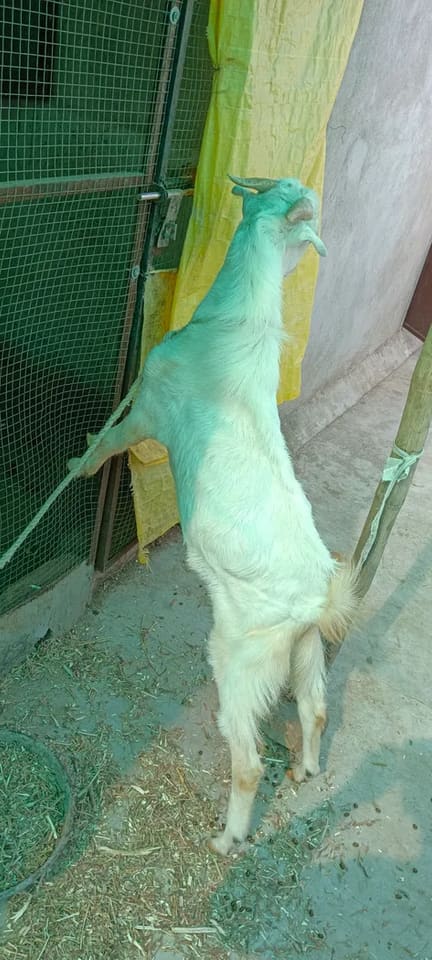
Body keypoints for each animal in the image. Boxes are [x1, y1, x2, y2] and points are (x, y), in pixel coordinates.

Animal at [68, 175, 358, 855]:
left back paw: (229, 840)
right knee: (316, 709)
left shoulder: (150, 407)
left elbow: (111, 442)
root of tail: (319, 598)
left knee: (248, 760)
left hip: (243, 657)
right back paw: (306, 769)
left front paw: (79, 463)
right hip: (304, 650)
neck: (232, 326)